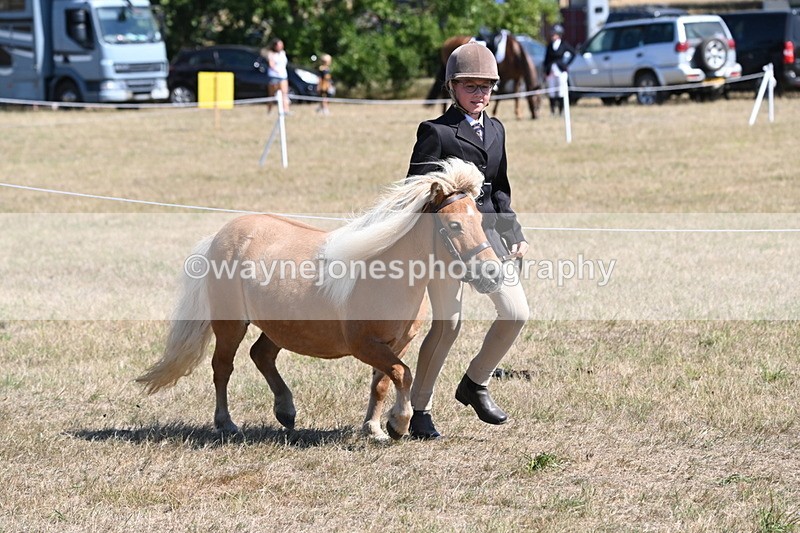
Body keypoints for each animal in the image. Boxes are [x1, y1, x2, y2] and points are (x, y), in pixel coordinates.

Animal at [136, 158, 504, 441]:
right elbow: (403, 374)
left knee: (261, 355)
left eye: (480, 219)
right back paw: (226, 424)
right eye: (454, 225)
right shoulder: (364, 344)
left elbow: (383, 382)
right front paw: (398, 424)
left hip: (279, 326)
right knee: (222, 367)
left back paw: (286, 411)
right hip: (230, 325)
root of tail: (220, 235)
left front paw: (374, 428)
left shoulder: (394, 344)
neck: (386, 274)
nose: (492, 274)